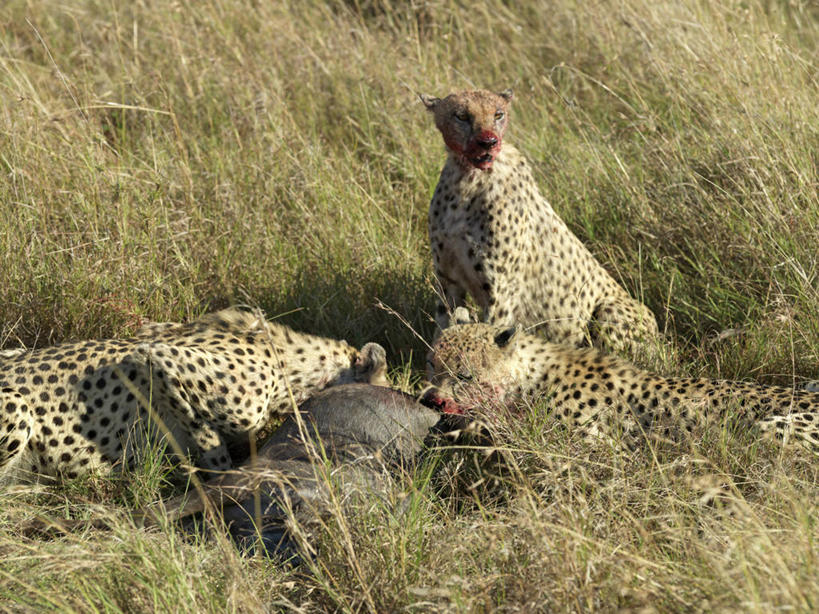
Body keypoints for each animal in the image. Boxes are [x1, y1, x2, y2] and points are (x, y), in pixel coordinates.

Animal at [422, 88, 660, 358]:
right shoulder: (448, 281)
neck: (468, 178)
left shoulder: (500, 294)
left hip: (609, 311)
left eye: (498, 114)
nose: (489, 141)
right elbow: (443, 329)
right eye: (461, 116)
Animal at [422, 312, 819, 452]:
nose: (431, 399)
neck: (527, 381)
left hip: (769, 432)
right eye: (431, 365)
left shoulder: (593, 445)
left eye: (464, 375)